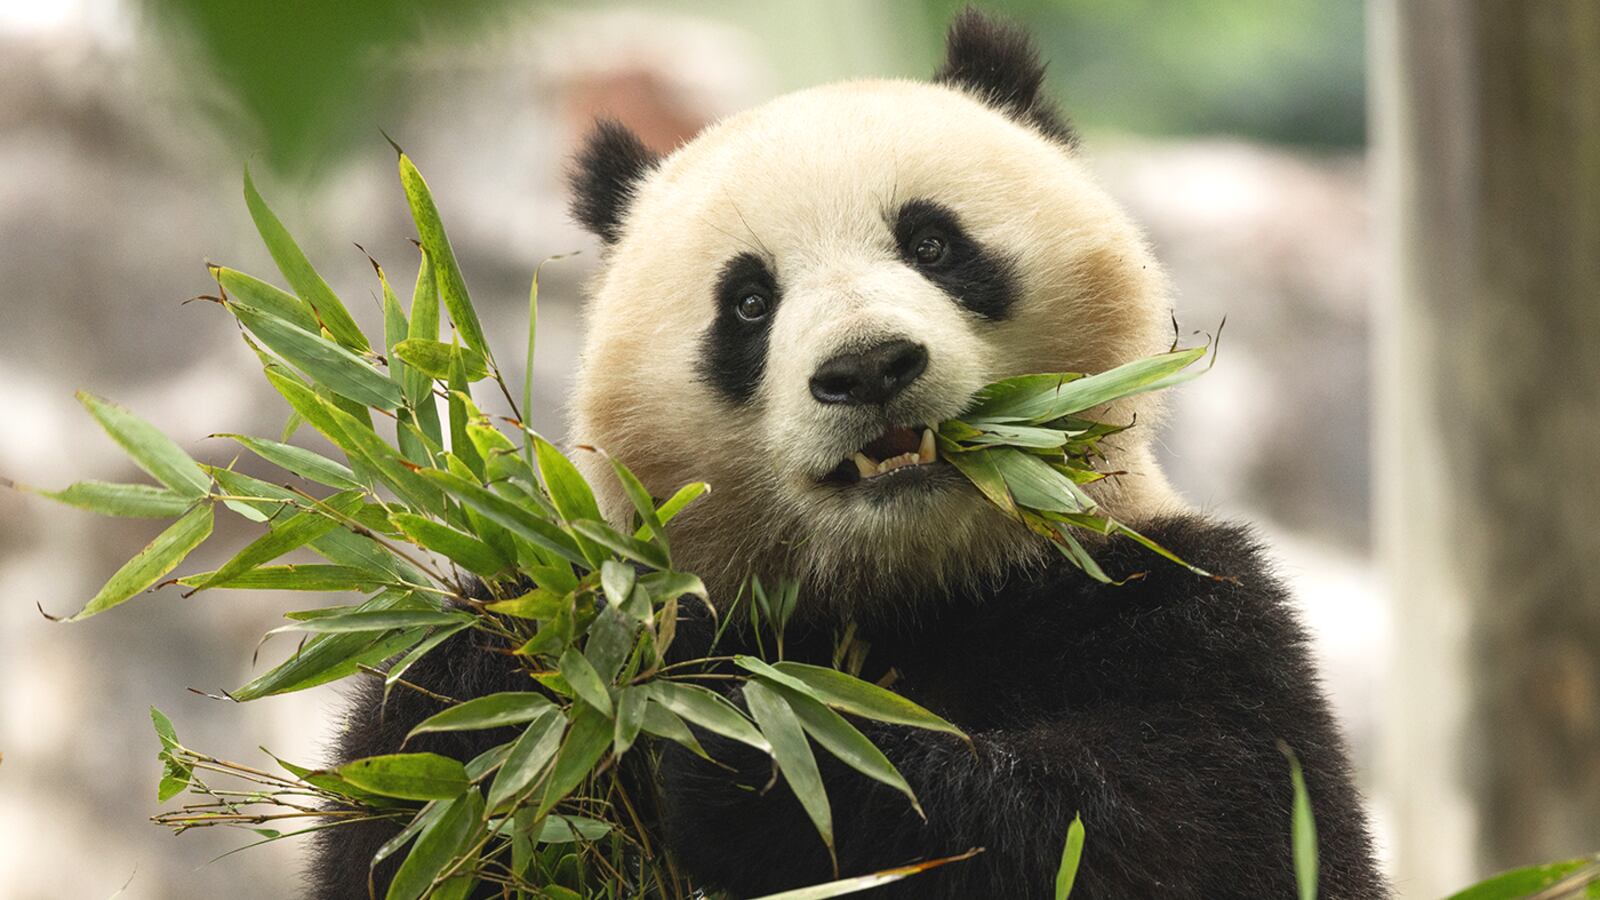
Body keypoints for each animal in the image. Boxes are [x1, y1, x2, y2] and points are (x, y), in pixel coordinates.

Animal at [310, 9, 1385, 899]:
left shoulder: (1179, 606)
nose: (867, 368)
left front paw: (756, 760)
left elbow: (1184, 831)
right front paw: (507, 673)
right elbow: (418, 798)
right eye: (748, 302)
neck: (909, 584)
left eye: (933, 243)